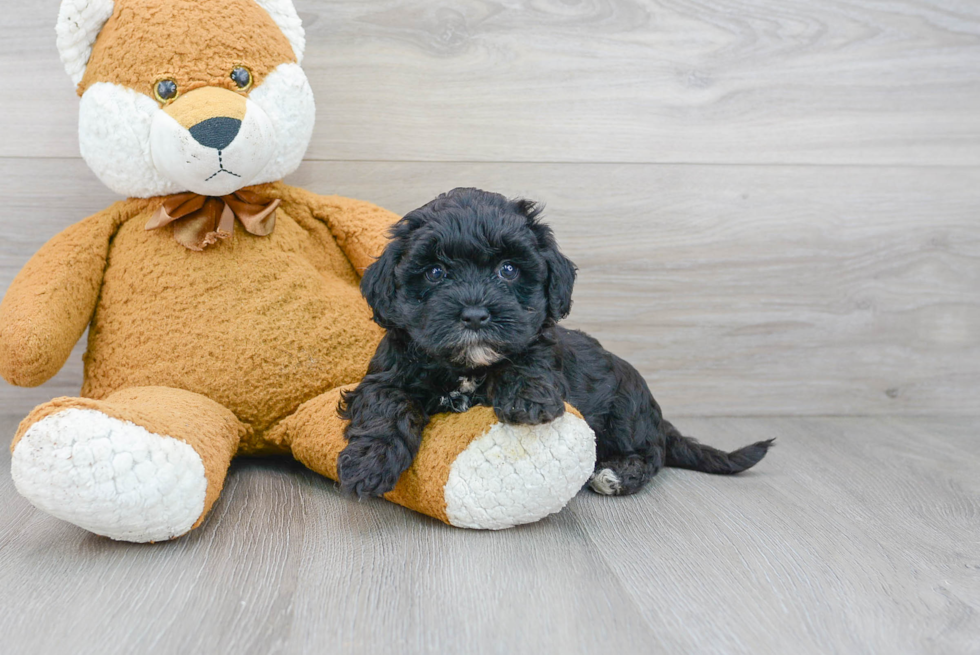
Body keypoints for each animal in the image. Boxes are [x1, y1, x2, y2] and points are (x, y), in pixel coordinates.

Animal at [338, 188, 772, 498]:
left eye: (508, 269)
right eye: (435, 272)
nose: (475, 315)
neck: (467, 366)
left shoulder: (542, 351)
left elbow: (530, 359)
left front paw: (528, 399)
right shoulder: (386, 375)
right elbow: (385, 406)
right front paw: (369, 463)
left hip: (627, 410)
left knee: (653, 453)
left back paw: (615, 474)